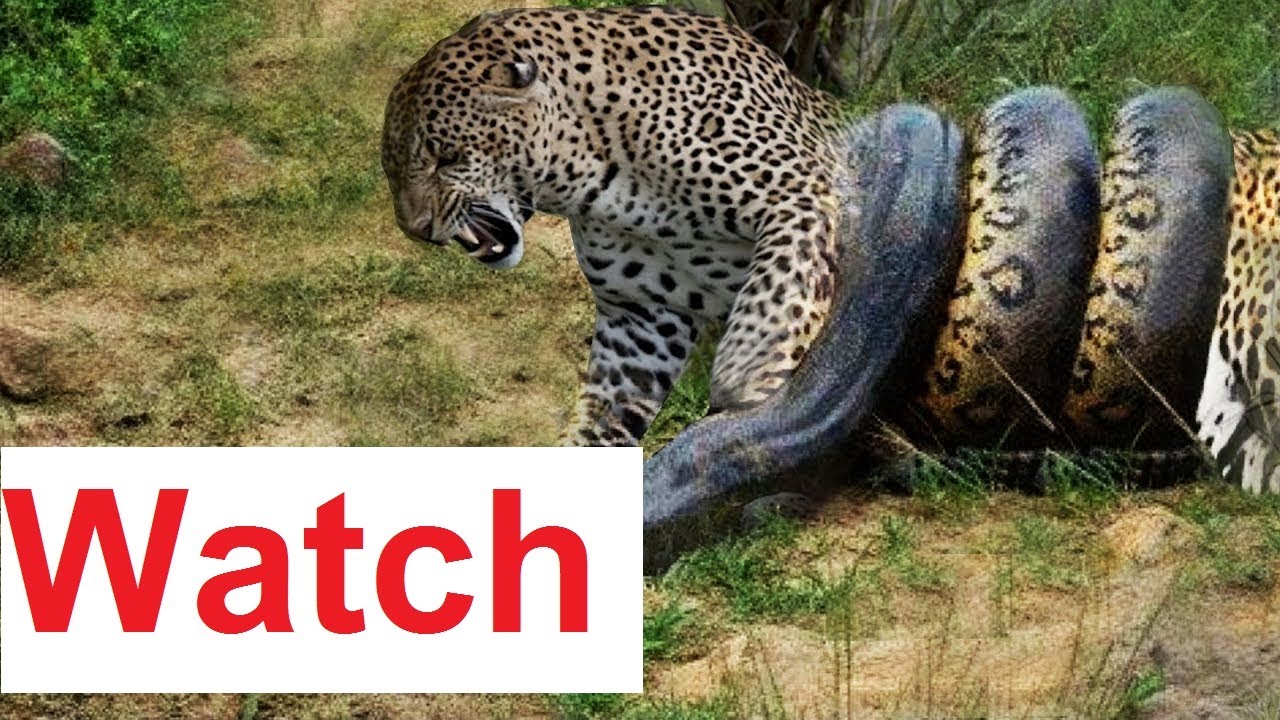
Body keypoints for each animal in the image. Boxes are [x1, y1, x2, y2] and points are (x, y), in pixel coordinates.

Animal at [380, 6, 1280, 531]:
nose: (418, 229)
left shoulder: (801, 198)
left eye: (446, 158)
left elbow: (777, 311)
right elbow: (610, 400)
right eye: (394, 170)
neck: (595, 172)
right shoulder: (640, 313)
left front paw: (751, 394)